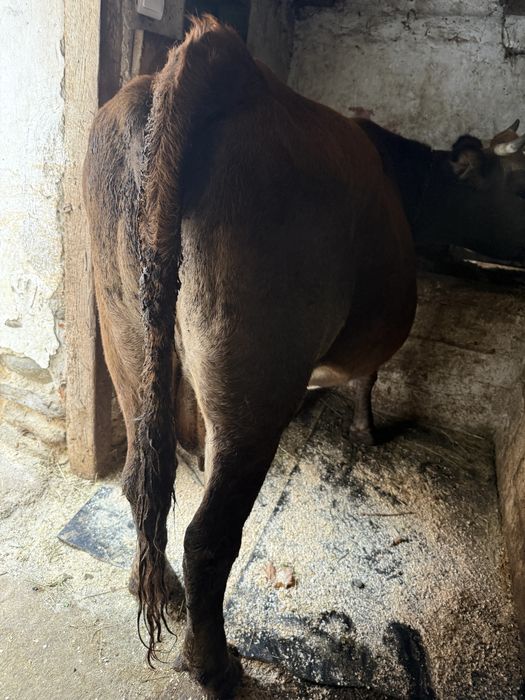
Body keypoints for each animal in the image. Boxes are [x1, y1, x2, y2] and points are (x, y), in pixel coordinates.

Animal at [83, 16, 525, 698]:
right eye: (520, 182)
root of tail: (227, 66)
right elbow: (369, 378)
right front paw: (366, 432)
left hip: (126, 331)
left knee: (140, 481)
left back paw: (154, 587)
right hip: (256, 375)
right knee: (209, 535)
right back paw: (215, 666)